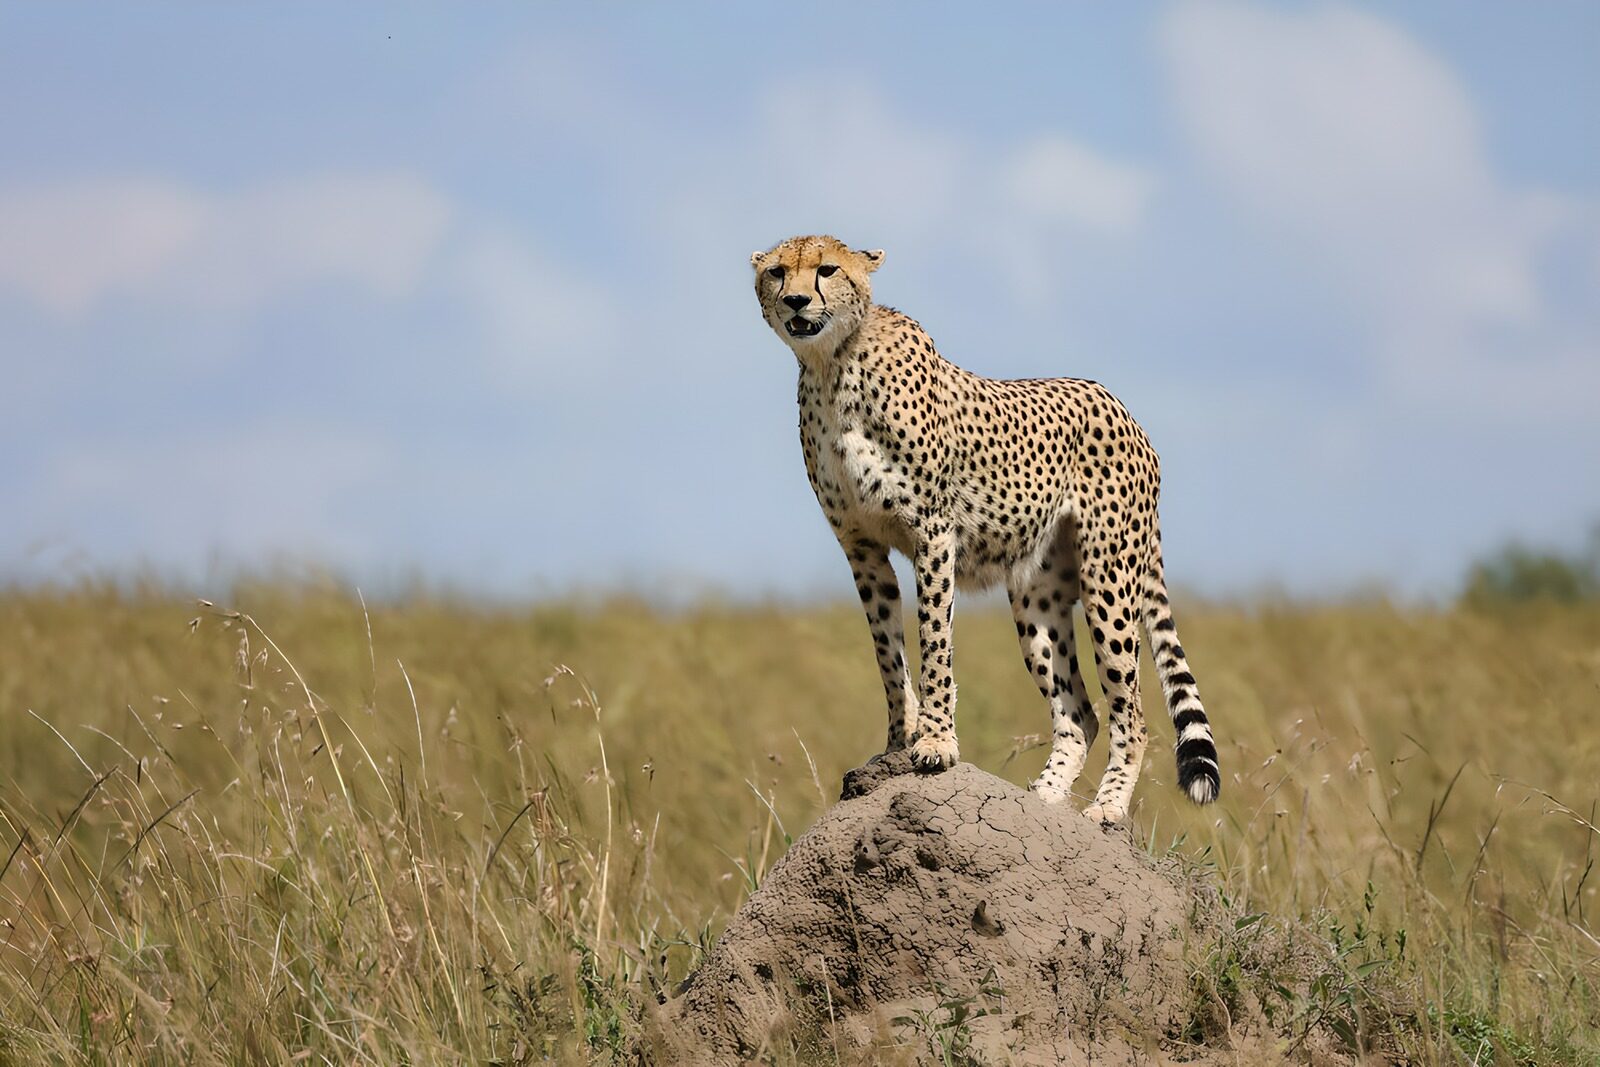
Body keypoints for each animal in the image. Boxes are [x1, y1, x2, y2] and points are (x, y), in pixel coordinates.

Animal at [751, 233, 1220, 825]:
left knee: (1130, 712)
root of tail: (1125, 411)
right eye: (777, 272)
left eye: (827, 270)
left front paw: (935, 744)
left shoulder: (932, 532)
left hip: (1109, 578)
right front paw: (896, 742)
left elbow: (934, 640)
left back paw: (1107, 808)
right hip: (1038, 599)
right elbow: (887, 650)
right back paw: (1039, 801)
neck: (834, 366)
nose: (795, 300)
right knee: (1078, 714)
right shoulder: (861, 546)